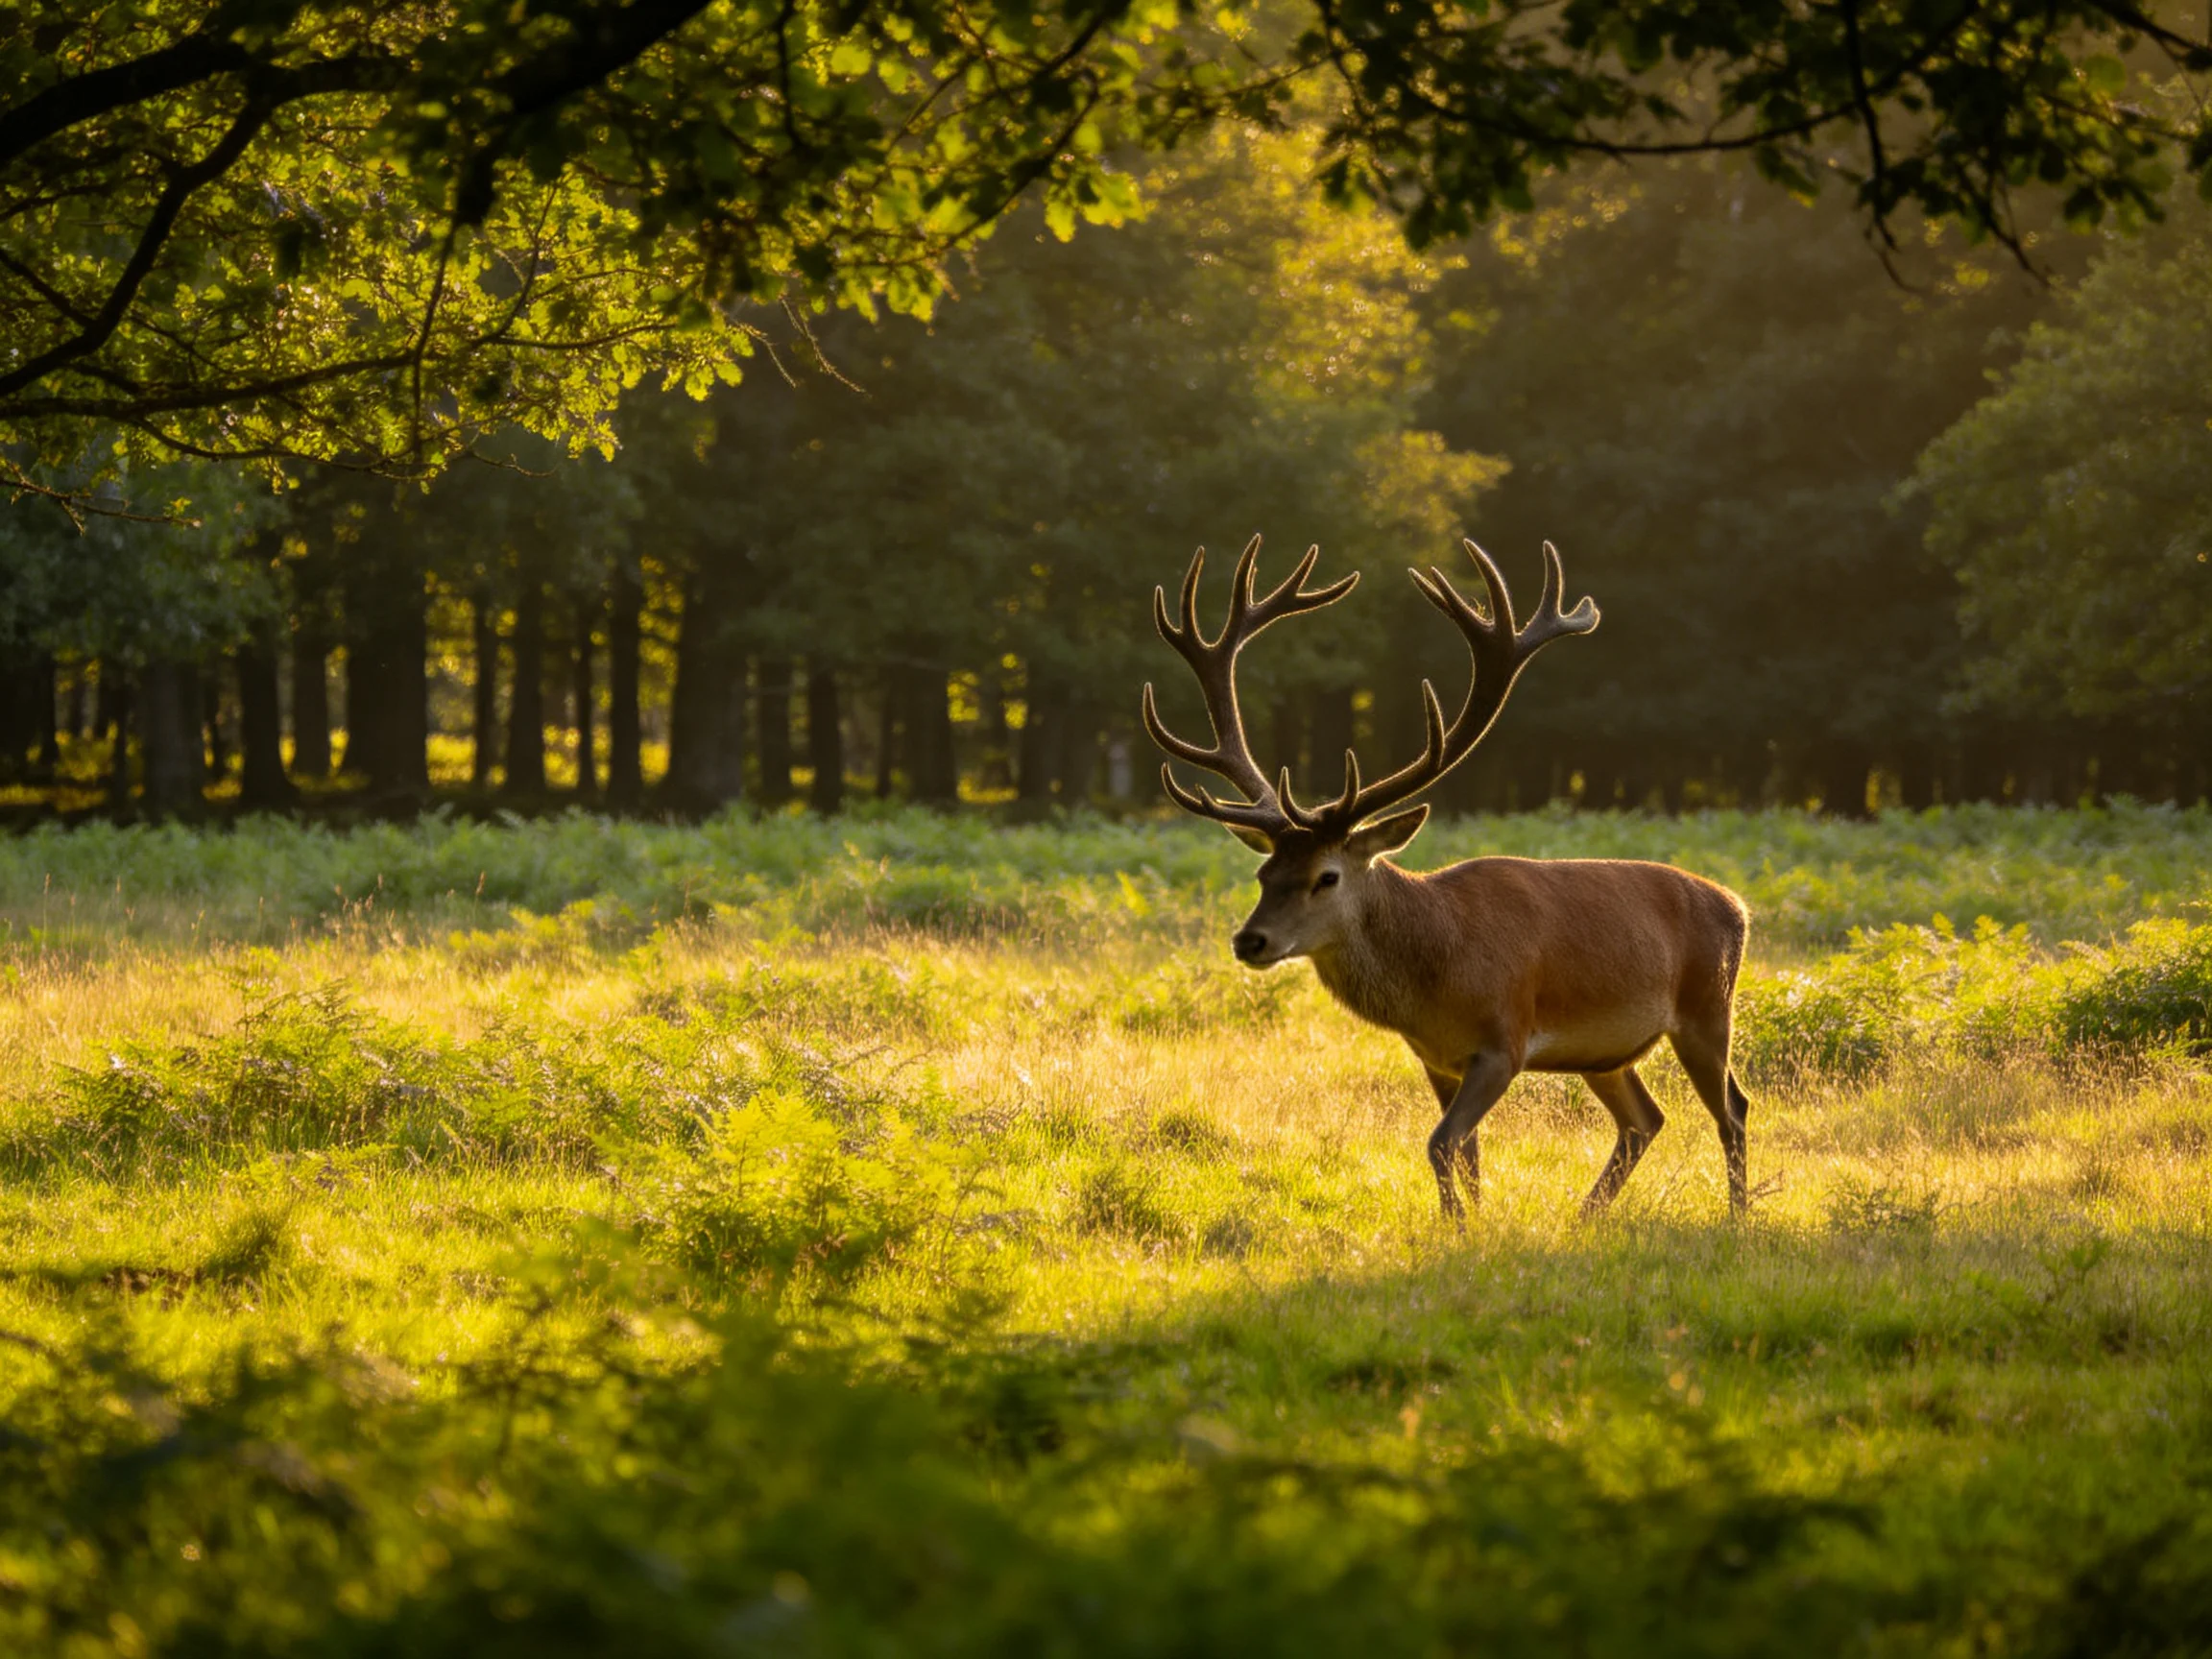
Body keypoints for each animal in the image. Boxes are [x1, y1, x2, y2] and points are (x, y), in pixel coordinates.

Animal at [1140, 535, 1754, 1222]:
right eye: (1264, 870)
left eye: (1326, 876)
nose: (1251, 941)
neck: (1438, 974)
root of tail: (1737, 906)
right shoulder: (1437, 1059)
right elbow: (1466, 1153)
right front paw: (1473, 1221)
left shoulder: (1505, 1042)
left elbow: (1439, 1143)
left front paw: (1459, 1224)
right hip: (1607, 1051)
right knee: (1646, 1118)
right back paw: (1584, 1218)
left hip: (1708, 1008)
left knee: (1732, 1109)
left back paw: (1736, 1216)